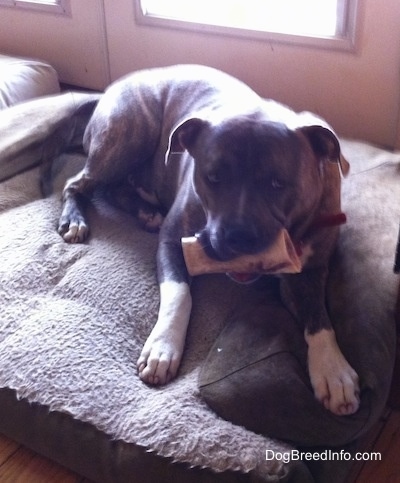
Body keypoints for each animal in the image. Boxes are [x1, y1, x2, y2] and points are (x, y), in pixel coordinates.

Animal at [46, 66, 360, 418]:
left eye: (278, 183)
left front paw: (332, 369)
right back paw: (76, 218)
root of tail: (118, 84)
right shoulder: (172, 243)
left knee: (114, 188)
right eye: (213, 177)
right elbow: (179, 296)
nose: (238, 236)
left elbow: (319, 318)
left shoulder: (309, 273)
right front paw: (163, 347)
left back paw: (145, 211)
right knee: (79, 183)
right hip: (127, 138)